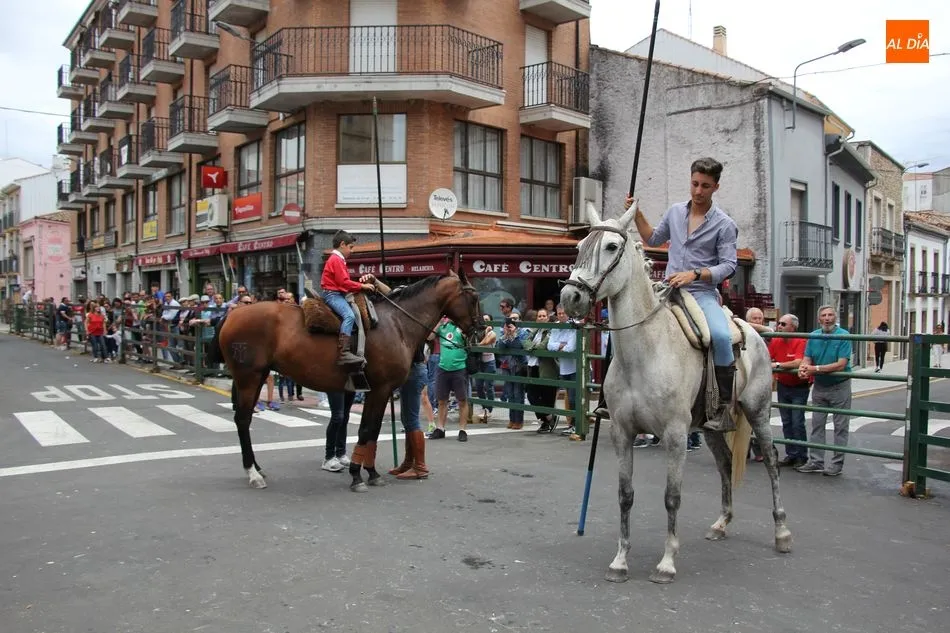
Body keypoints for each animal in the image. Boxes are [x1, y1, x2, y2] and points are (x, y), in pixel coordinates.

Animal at [209, 270, 482, 491]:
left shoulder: (378, 391)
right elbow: (367, 430)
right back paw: (252, 473)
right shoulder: (380, 389)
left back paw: (256, 467)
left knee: (245, 420)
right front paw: (358, 476)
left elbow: (371, 431)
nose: (480, 332)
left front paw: (370, 472)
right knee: (242, 420)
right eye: (475, 298)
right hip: (248, 378)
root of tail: (232, 315)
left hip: (257, 377)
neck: (397, 324)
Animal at [559, 203, 791, 584]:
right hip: (711, 427)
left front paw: (667, 563)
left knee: (771, 461)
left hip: (756, 412)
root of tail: (754, 331)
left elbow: (672, 497)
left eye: (611, 246)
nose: (570, 297)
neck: (646, 352)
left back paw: (782, 532)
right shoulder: (623, 433)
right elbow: (625, 495)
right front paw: (620, 561)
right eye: (579, 248)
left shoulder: (675, 436)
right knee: (725, 462)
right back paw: (721, 523)